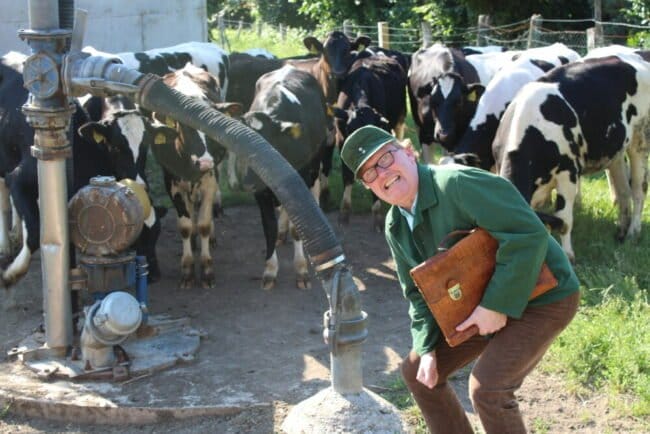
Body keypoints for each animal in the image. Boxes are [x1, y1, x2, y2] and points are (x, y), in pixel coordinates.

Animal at [239, 65, 330, 288]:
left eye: (269, 144)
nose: (247, 183)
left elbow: (298, 229)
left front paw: (301, 270)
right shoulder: (261, 193)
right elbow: (268, 228)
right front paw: (270, 270)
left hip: (315, 168)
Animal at [334, 56, 404, 229]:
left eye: (372, 131)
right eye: (350, 129)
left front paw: (377, 215)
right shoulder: (341, 140)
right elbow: (347, 176)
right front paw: (344, 212)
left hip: (399, 118)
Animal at [492, 50, 648, 262]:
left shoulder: (568, 173)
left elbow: (564, 219)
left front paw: (567, 255)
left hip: (641, 139)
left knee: (639, 189)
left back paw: (633, 233)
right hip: (616, 150)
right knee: (623, 191)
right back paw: (621, 232)